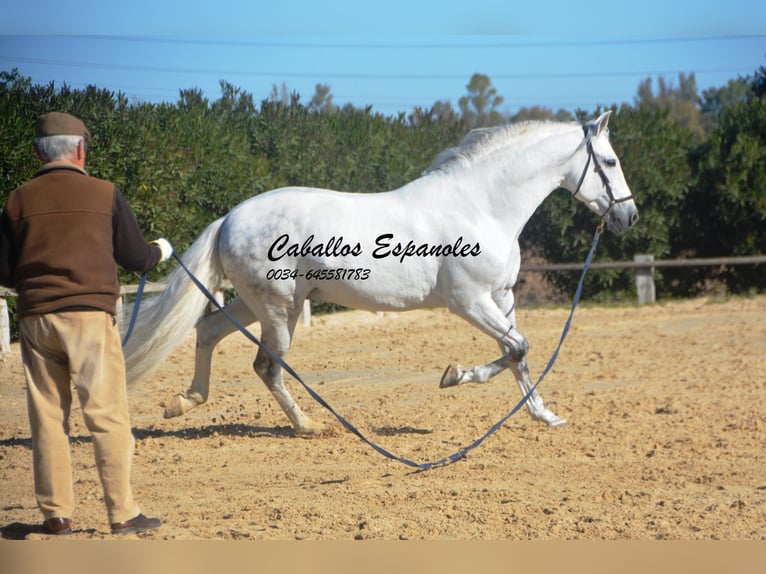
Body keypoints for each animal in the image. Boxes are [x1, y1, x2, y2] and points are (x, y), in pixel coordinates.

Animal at [124, 112, 640, 436]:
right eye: (610, 162)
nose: (628, 217)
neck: (482, 205)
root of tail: (229, 217)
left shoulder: (502, 297)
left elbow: (519, 355)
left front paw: (544, 415)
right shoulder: (470, 301)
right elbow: (516, 349)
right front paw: (454, 375)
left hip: (258, 303)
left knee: (209, 330)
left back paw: (184, 402)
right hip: (278, 309)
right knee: (266, 366)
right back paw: (308, 426)